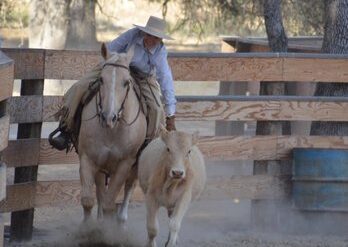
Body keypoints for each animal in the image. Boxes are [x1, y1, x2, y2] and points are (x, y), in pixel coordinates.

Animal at [77, 43, 145, 222]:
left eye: (126, 82)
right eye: (101, 79)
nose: (109, 117)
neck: (112, 132)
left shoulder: (125, 164)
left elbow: (109, 203)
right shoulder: (88, 159)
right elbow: (88, 200)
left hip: (134, 168)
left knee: (128, 188)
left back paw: (121, 219)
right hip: (101, 168)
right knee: (100, 191)